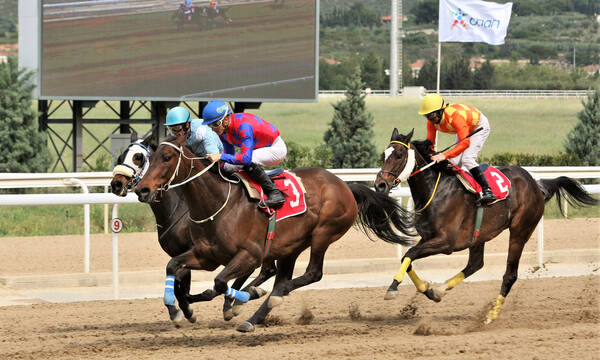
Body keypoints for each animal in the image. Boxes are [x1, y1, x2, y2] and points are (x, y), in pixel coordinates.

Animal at [110, 134, 272, 324]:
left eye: (138, 157)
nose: (116, 184)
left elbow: (183, 287)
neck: (179, 208)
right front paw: (180, 309)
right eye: (121, 157)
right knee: (267, 270)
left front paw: (183, 311)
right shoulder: (183, 254)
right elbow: (178, 283)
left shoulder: (193, 250)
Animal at [135, 134, 418, 332]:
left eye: (167, 157)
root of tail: (344, 186)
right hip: (290, 246)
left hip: (323, 234)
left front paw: (244, 297)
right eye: (150, 157)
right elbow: (174, 266)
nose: (142, 189)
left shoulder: (250, 254)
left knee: (310, 274)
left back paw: (263, 299)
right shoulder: (205, 256)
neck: (217, 204)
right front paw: (176, 310)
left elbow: (220, 283)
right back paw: (254, 317)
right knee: (282, 279)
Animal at [372, 129, 596, 324]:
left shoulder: (446, 242)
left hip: (520, 230)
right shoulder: (429, 238)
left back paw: (490, 315)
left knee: (510, 274)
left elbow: (409, 253)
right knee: (475, 264)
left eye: (399, 154)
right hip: (479, 236)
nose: (380, 185)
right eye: (384, 154)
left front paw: (392, 288)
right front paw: (428, 290)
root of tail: (536, 184)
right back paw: (440, 290)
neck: (436, 191)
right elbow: (407, 257)